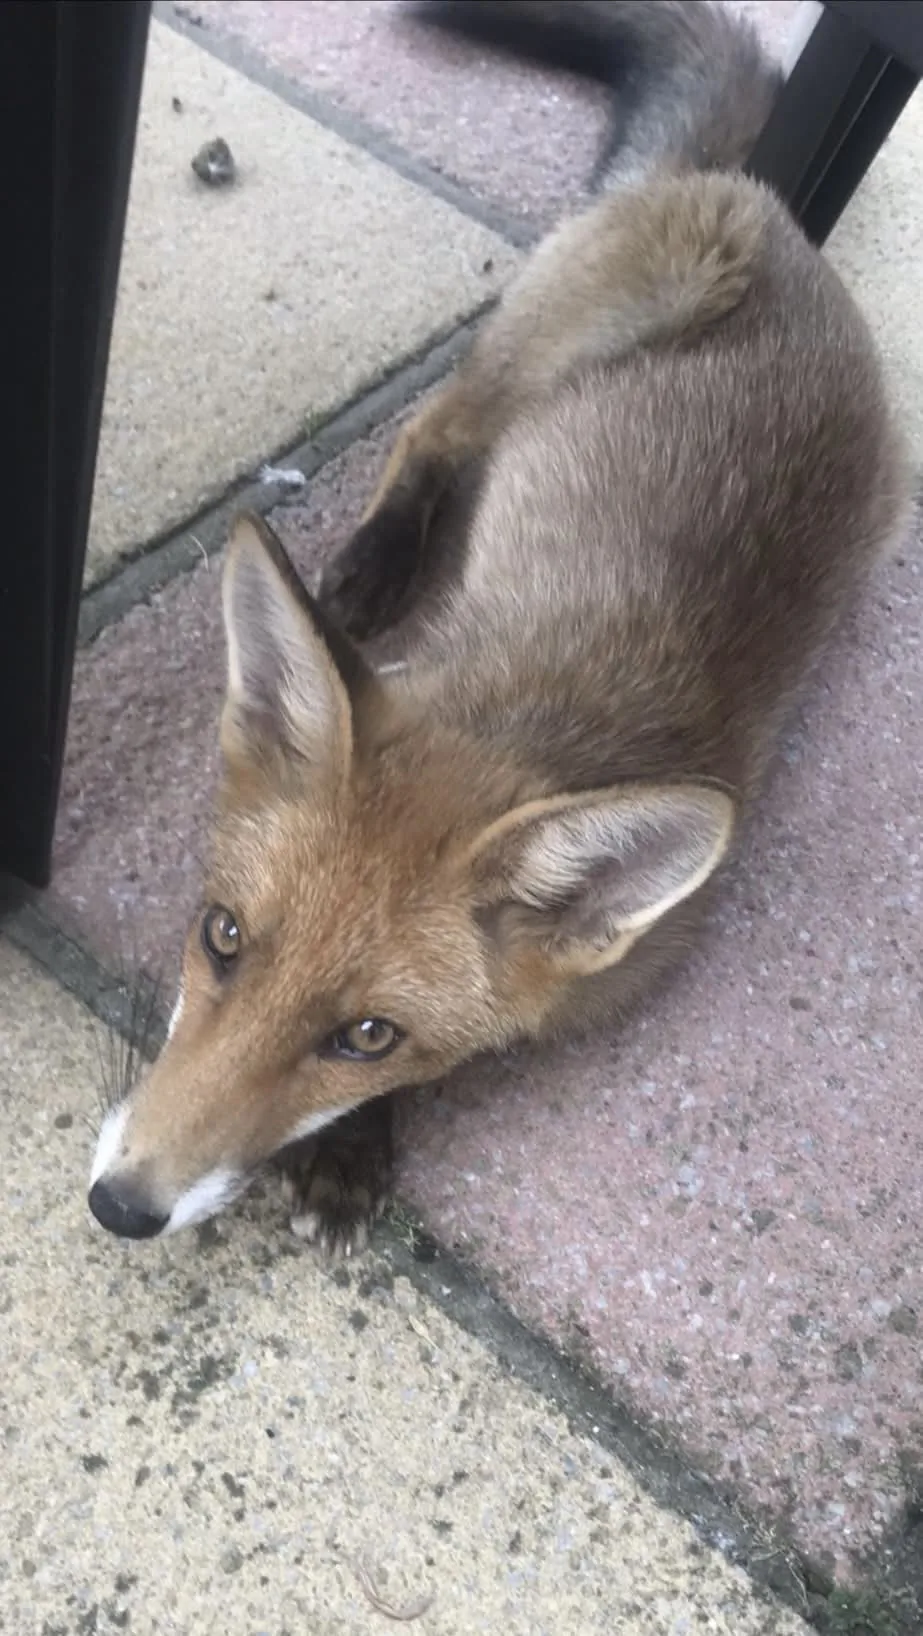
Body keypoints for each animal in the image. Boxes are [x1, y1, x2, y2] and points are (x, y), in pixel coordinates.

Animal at [88, 0, 908, 1256]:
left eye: (365, 1035)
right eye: (222, 936)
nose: (120, 1206)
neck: (529, 712)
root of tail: (756, 199)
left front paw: (351, 1143)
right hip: (551, 348)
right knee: (431, 429)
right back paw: (374, 563)